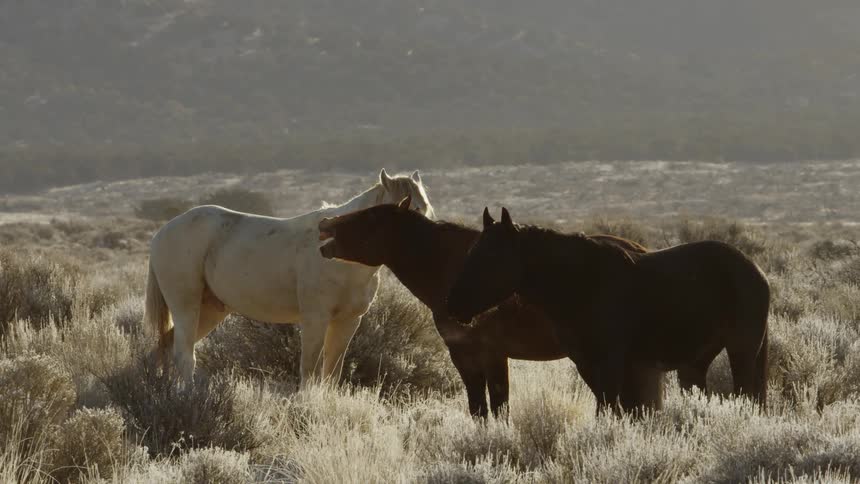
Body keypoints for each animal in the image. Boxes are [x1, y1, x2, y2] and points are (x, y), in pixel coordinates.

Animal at [144, 169, 434, 385]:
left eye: (425, 210)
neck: (341, 258)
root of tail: (162, 232)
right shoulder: (315, 318)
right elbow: (310, 370)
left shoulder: (348, 321)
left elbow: (331, 372)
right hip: (187, 307)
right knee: (184, 355)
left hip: (210, 310)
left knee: (166, 347)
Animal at [317, 196, 648, 417]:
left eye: (371, 218)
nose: (325, 223)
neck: (451, 271)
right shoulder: (463, 355)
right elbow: (478, 409)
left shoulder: (493, 355)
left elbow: (499, 409)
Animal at [447, 207, 770, 414]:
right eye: (472, 251)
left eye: (491, 257)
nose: (453, 305)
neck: (582, 282)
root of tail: (756, 272)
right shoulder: (587, 364)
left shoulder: (610, 362)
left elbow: (609, 410)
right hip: (697, 361)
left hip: (741, 351)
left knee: (747, 395)